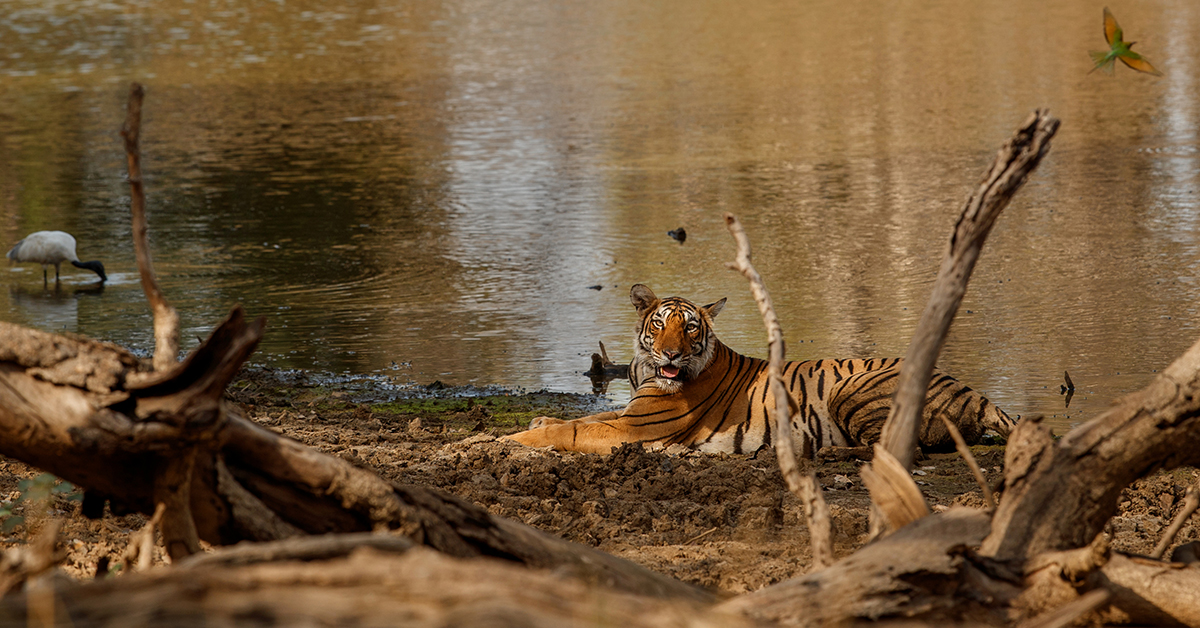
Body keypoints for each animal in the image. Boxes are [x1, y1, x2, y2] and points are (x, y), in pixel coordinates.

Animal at [501, 284, 1017, 456]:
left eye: (691, 328)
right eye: (660, 325)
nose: (670, 356)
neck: (645, 371)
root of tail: (975, 392)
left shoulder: (635, 428)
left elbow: (569, 431)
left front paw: (512, 436)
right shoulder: (627, 415)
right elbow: (586, 416)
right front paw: (539, 417)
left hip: (851, 387)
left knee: (893, 447)